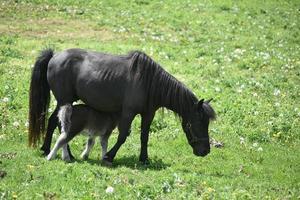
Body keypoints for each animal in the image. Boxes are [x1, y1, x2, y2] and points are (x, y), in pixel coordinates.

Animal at [28, 48, 216, 164]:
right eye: (198, 123)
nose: (205, 151)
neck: (149, 83)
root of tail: (54, 56)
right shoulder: (128, 113)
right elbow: (123, 136)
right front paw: (109, 156)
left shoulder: (148, 114)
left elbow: (144, 137)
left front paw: (144, 159)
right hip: (64, 100)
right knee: (60, 124)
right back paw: (61, 153)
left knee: (53, 121)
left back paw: (46, 149)